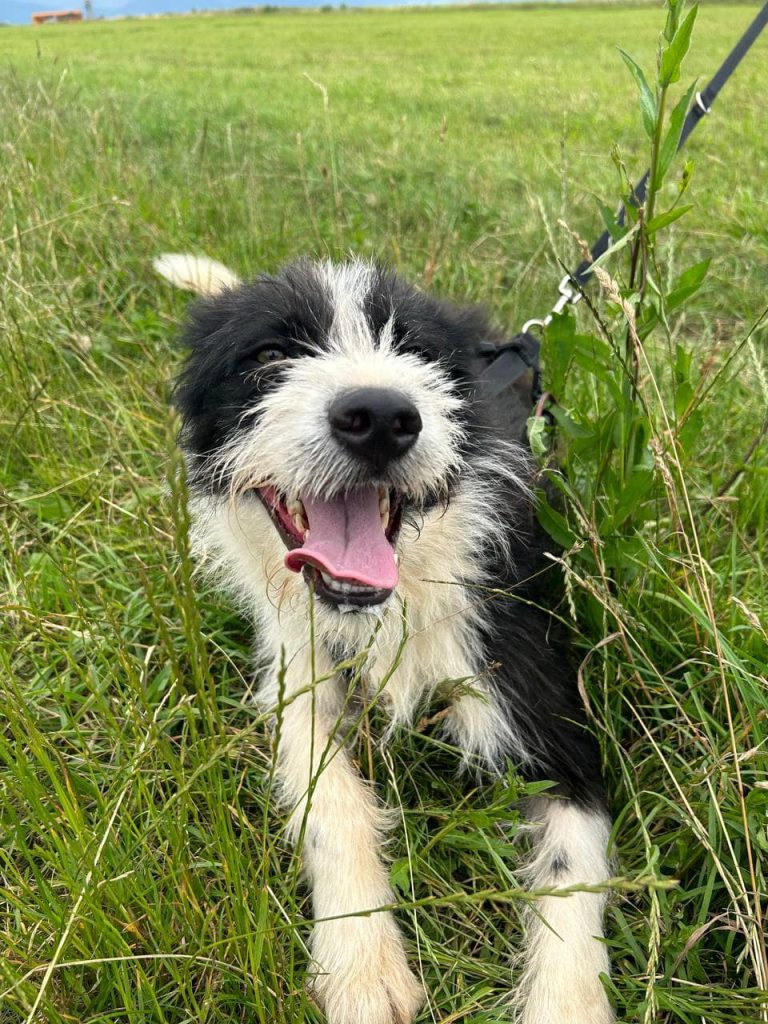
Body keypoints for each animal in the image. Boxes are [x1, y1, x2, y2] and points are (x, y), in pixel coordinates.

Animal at [154, 253, 614, 1024]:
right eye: (270, 356)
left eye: (417, 352)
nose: (379, 417)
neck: (387, 606)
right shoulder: (299, 671)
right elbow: (328, 798)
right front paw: (362, 964)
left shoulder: (548, 715)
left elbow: (571, 875)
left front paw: (564, 1006)